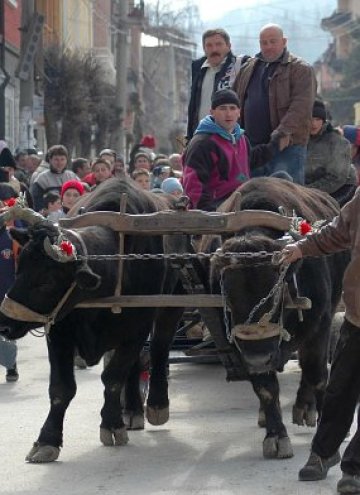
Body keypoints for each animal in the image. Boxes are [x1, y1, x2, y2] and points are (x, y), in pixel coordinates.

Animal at [0, 179, 181, 464]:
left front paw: (112, 424)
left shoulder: (138, 328)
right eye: (19, 270)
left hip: (173, 303)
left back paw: (155, 405)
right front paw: (47, 440)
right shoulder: (60, 331)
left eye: (46, 281)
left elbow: (113, 377)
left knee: (159, 348)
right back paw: (132, 410)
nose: (5, 323)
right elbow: (61, 388)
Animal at [204, 178, 348, 462]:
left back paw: (306, 407)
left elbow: (317, 374)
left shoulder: (321, 325)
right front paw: (276, 436)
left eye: (276, 291)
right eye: (228, 295)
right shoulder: (243, 347)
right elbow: (266, 388)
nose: (259, 358)